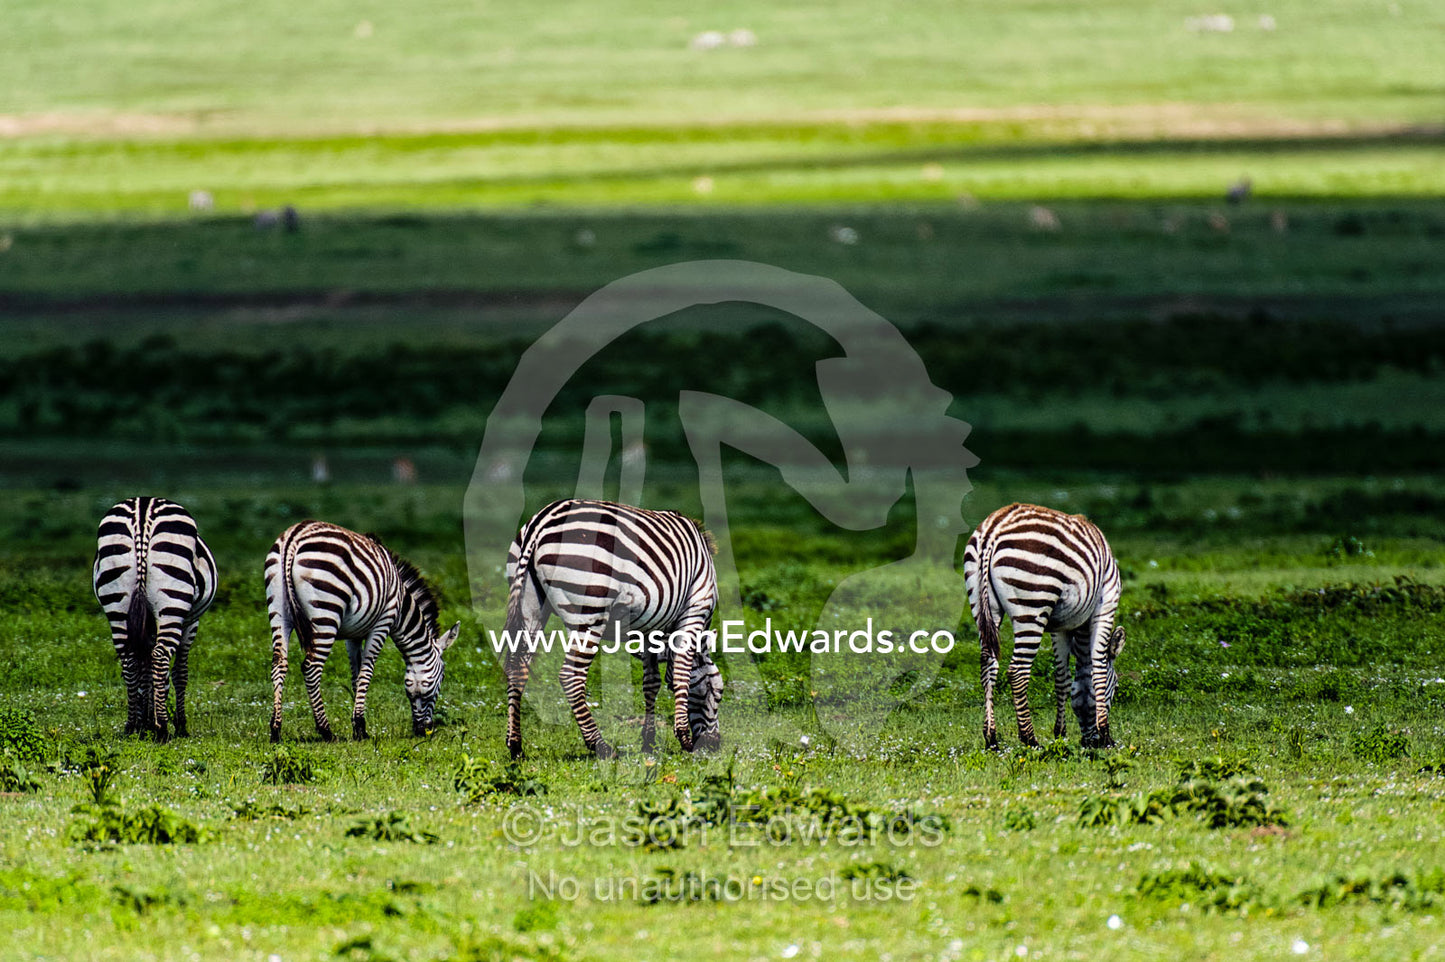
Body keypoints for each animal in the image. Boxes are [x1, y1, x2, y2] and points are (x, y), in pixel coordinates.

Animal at [92, 497, 217, 741]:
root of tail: (142, 511)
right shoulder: (190, 623)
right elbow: (178, 673)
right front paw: (179, 725)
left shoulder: (146, 626)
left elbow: (146, 670)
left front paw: (145, 722)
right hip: (173, 600)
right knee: (160, 656)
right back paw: (163, 729)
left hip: (116, 602)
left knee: (130, 659)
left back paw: (132, 725)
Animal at [264, 521, 459, 742]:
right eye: (441, 680)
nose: (425, 731)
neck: (402, 606)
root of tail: (293, 537)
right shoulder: (383, 623)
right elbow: (367, 672)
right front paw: (360, 729)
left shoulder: (353, 635)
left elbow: (356, 676)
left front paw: (356, 723)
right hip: (326, 612)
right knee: (311, 668)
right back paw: (326, 731)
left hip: (278, 610)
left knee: (279, 664)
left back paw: (276, 730)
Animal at [502, 498, 722, 760]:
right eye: (716, 693)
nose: (715, 745)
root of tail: (540, 523)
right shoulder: (695, 608)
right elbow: (681, 674)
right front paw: (684, 738)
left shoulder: (650, 628)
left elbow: (651, 682)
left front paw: (648, 741)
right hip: (590, 610)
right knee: (571, 676)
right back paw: (600, 745)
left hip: (530, 605)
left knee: (517, 666)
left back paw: (515, 745)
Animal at [963, 502, 1127, 750]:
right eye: (1116, 687)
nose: (1090, 742)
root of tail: (994, 527)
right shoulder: (1106, 604)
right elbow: (1097, 668)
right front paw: (1106, 734)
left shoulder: (1061, 627)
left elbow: (1063, 678)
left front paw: (1060, 732)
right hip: (1032, 603)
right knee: (1017, 671)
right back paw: (1030, 738)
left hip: (981, 603)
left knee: (988, 664)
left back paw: (991, 737)